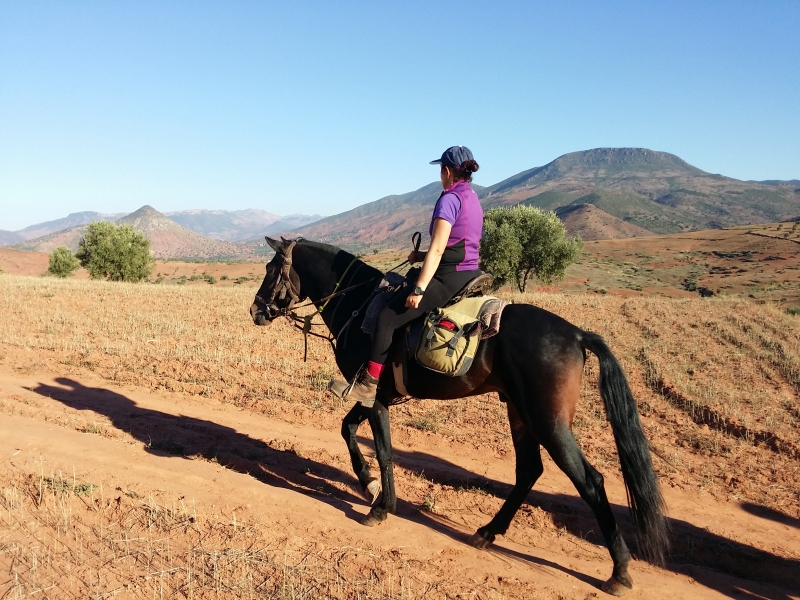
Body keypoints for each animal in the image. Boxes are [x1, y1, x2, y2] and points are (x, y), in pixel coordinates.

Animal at [250, 238, 668, 596]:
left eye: (272, 269)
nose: (256, 310)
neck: (359, 301)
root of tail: (578, 334)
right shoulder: (371, 395)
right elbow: (347, 429)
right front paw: (368, 484)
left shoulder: (374, 395)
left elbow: (382, 449)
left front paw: (381, 507)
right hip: (519, 412)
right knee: (528, 470)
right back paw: (487, 532)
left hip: (548, 421)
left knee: (590, 481)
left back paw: (619, 571)